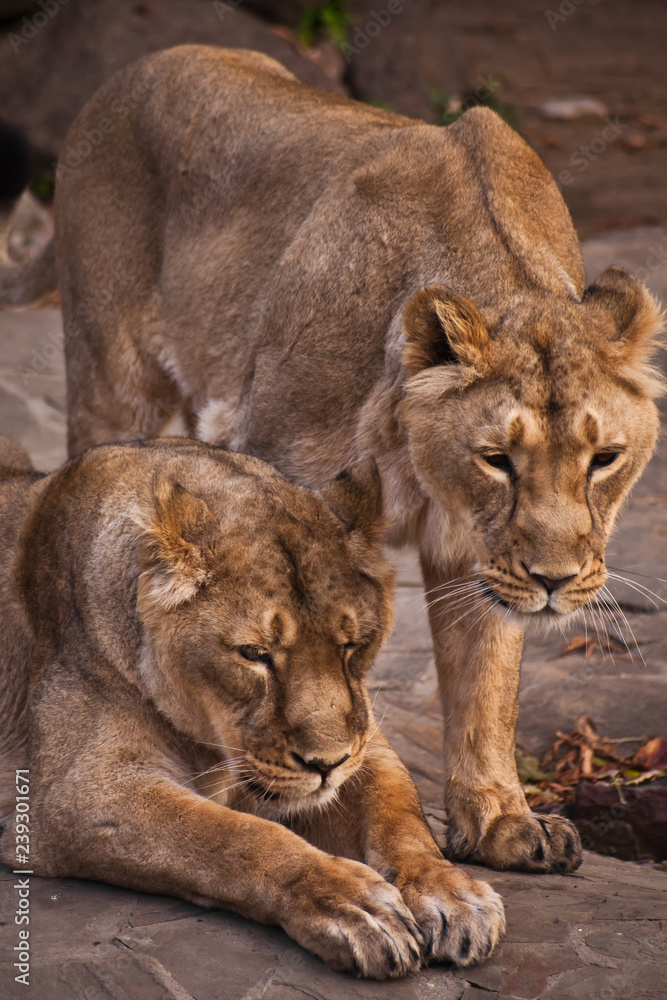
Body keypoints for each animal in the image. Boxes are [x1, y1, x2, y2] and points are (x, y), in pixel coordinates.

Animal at [0, 436, 505, 977]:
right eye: (256, 654)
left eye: (352, 646)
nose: (324, 765)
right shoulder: (74, 796)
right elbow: (234, 836)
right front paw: (353, 905)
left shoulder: (362, 737)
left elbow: (399, 813)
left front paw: (449, 891)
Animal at [1, 44, 663, 873]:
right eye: (496, 460)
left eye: (603, 458)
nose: (554, 582)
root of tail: (135, 70)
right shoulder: (281, 473)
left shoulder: (476, 557)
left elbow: (485, 679)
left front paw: (499, 821)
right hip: (109, 372)